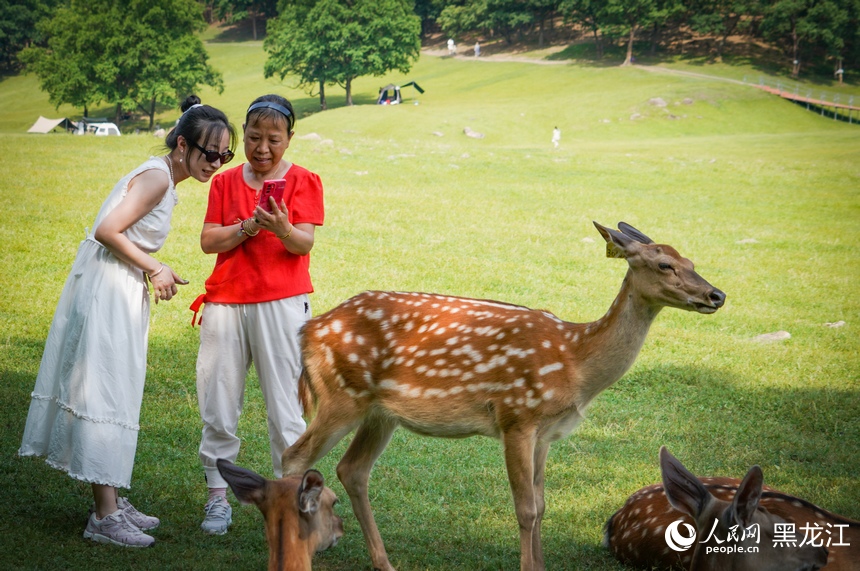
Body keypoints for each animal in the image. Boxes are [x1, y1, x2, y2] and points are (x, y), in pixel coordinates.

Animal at [281, 221, 726, 571]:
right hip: (341, 395)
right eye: (664, 264)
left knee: (352, 470)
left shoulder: (547, 433)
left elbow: (542, 504)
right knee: (295, 457)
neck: (575, 364)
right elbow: (525, 508)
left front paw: (541, 565)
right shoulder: (517, 416)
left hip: (380, 413)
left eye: (691, 262)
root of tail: (308, 331)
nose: (716, 295)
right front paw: (529, 567)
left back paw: (384, 562)